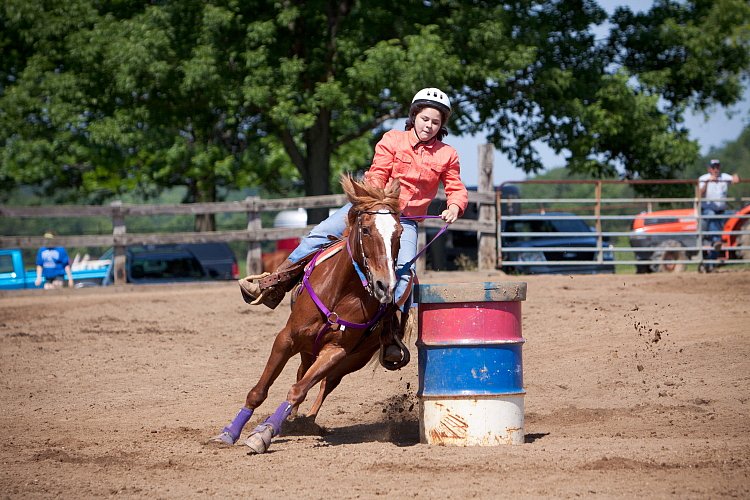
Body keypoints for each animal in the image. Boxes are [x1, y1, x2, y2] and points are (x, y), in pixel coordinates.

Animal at [214, 176, 406, 454]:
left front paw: (264, 433)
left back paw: (304, 422)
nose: (385, 285)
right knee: (302, 372)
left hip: (351, 359)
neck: (342, 291)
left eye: (399, 233)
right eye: (366, 230)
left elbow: (299, 390)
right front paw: (230, 432)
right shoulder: (286, 338)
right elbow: (259, 390)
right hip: (307, 348)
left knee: (324, 383)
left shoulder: (336, 352)